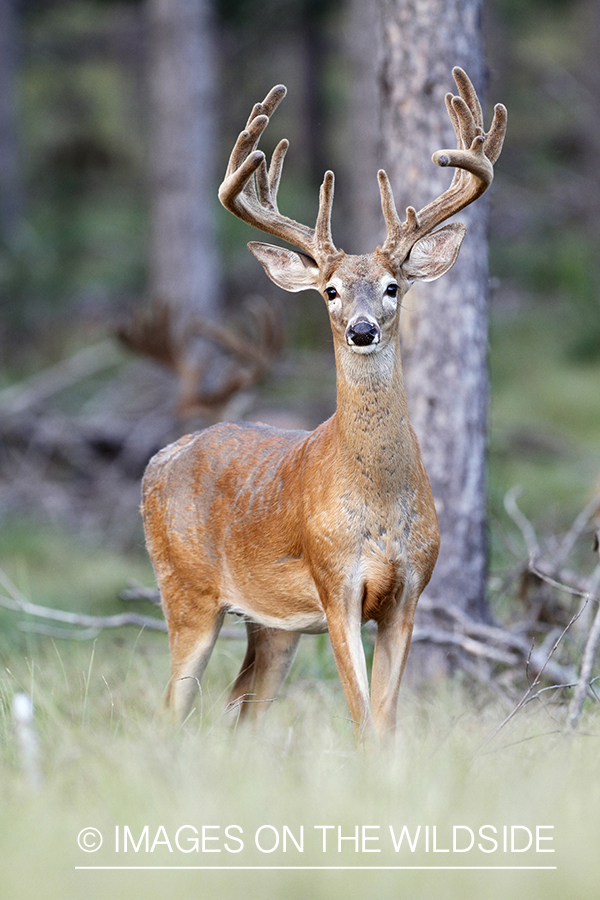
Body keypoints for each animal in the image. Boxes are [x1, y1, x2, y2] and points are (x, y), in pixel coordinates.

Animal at [142, 67, 506, 744]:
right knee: (172, 708)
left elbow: (385, 724)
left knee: (240, 706)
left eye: (393, 286)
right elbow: (362, 719)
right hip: (186, 592)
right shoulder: (335, 583)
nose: (362, 329)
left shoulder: (409, 591)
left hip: (273, 625)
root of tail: (159, 459)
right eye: (331, 290)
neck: (379, 507)